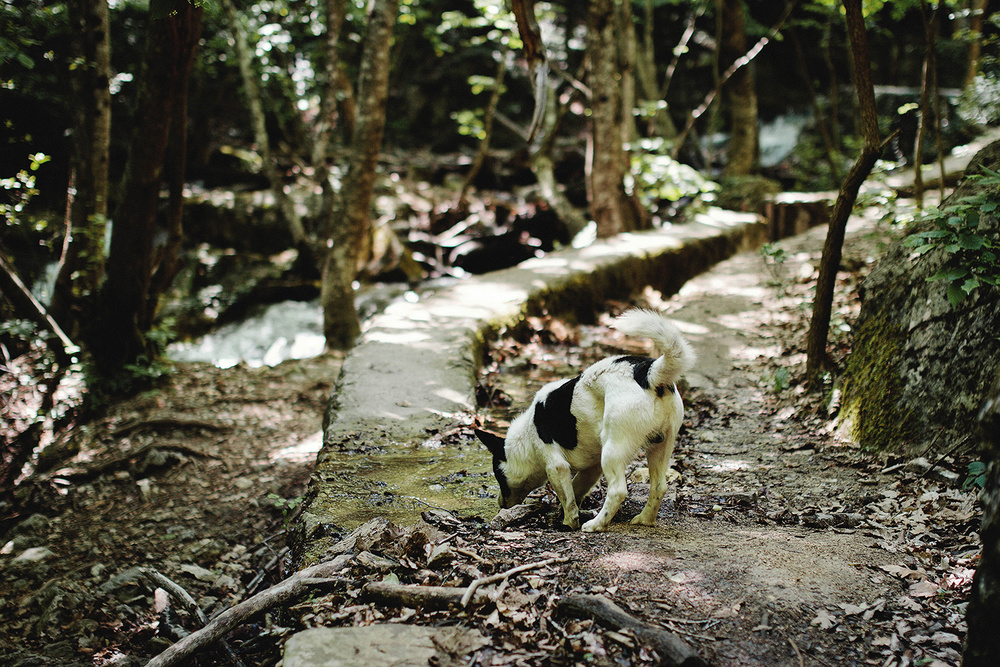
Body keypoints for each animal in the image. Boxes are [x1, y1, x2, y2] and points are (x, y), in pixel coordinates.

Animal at [476, 310, 696, 536]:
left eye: (498, 475)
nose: (500, 504)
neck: (527, 433)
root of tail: (649, 374)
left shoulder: (556, 465)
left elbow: (567, 498)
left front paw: (567, 523)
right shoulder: (592, 468)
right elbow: (575, 489)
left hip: (613, 449)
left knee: (618, 490)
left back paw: (596, 524)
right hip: (660, 445)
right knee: (659, 486)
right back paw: (645, 519)